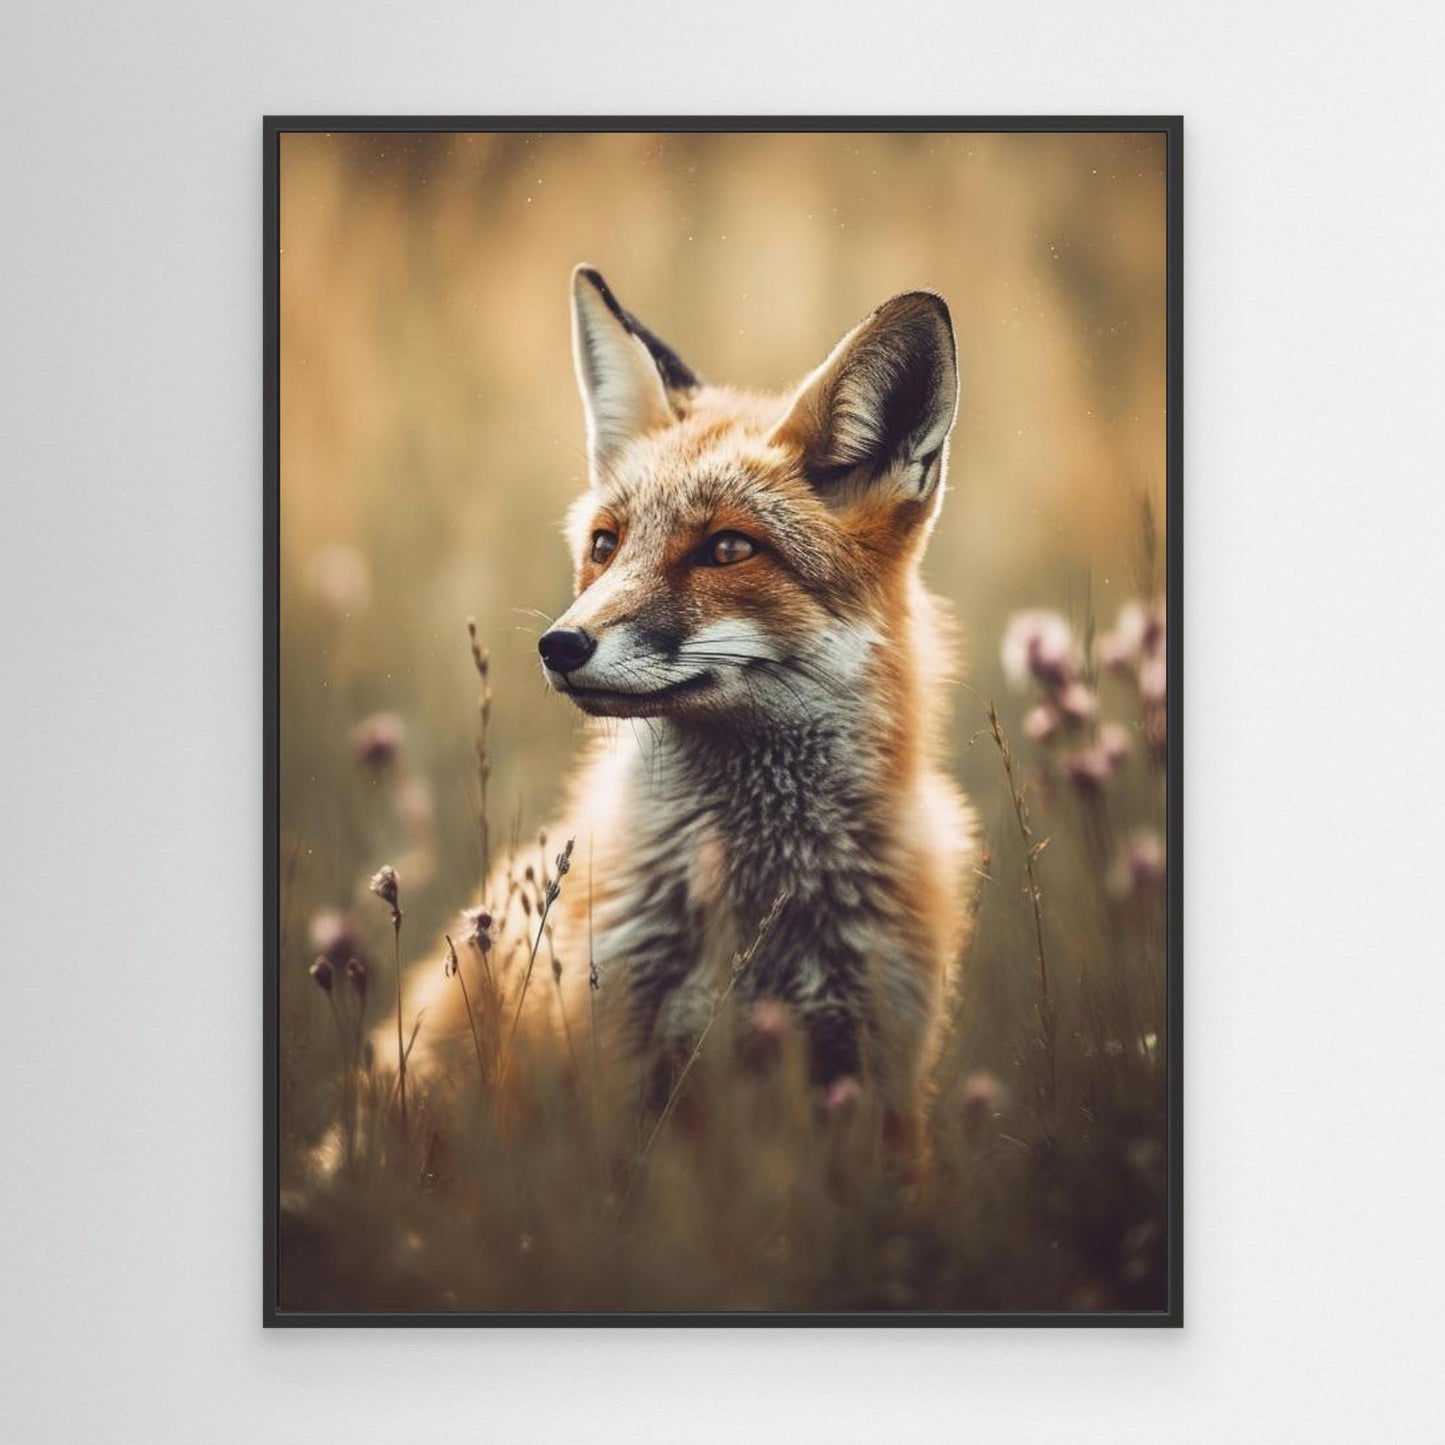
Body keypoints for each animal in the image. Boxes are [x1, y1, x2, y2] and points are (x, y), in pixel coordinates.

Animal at [383, 265, 979, 1140]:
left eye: (727, 548)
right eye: (605, 545)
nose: (558, 646)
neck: (757, 904)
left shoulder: (879, 1075)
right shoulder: (616, 1067)